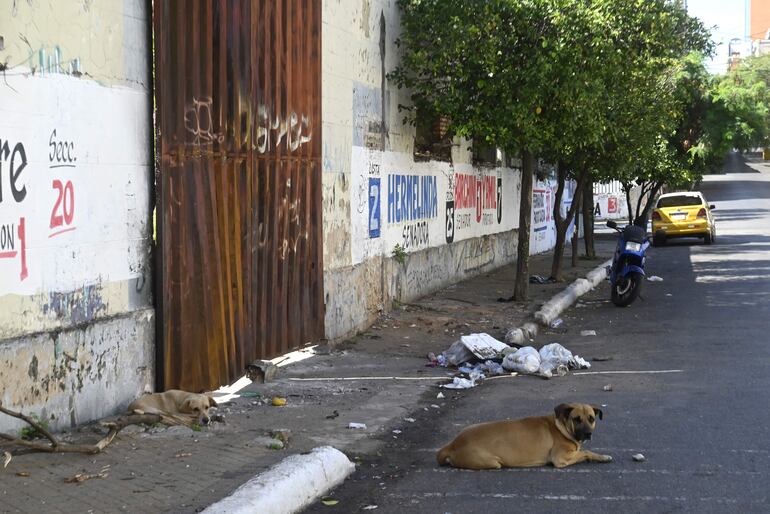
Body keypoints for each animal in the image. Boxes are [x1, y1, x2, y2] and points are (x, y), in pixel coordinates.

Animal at [438, 400, 612, 468]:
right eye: (576, 419)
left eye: (591, 419)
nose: (588, 434)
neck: (561, 426)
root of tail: (453, 444)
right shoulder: (561, 458)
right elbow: (587, 452)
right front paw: (603, 457)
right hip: (492, 462)